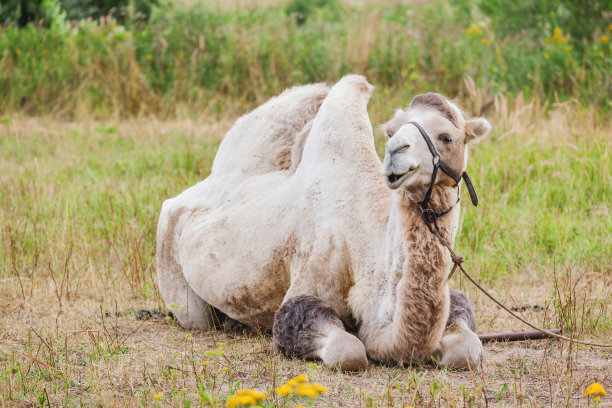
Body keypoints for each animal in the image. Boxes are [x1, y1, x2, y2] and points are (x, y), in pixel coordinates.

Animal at [155, 73, 490, 370]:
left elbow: (467, 349)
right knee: (196, 317)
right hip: (174, 268)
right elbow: (348, 350)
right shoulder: (312, 272)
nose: (397, 152)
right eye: (390, 132)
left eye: (447, 137)